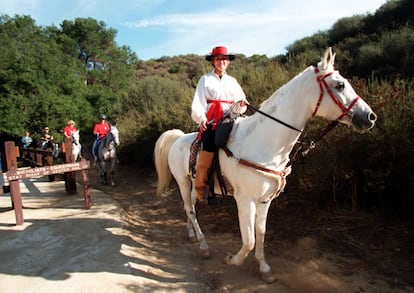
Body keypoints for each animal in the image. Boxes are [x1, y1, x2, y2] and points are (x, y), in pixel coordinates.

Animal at [154, 47, 376, 280]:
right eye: (339, 85)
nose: (370, 117)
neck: (264, 141)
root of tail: (178, 137)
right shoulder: (245, 200)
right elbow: (249, 239)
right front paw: (233, 260)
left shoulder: (264, 200)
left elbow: (260, 233)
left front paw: (264, 267)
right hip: (182, 181)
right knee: (189, 208)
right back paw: (204, 245)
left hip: (194, 183)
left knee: (190, 206)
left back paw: (192, 235)